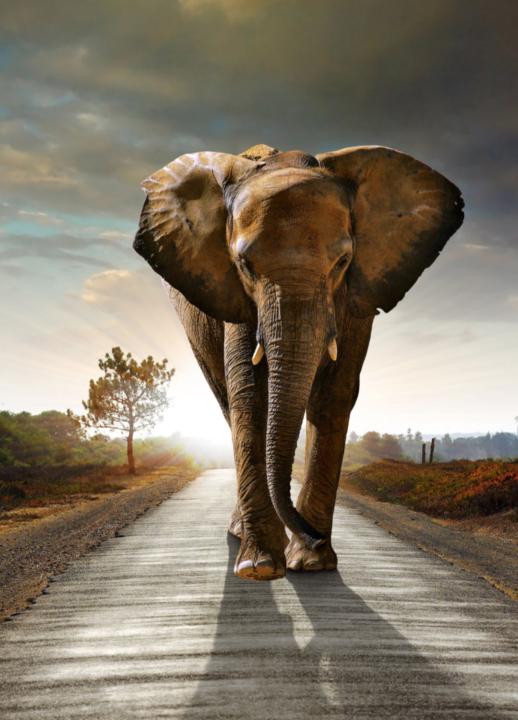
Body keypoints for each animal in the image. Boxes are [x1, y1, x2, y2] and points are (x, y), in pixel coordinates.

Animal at [134, 143, 463, 581]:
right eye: (245, 265)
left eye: (342, 262)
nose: (314, 535)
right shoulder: (236, 298)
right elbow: (250, 395)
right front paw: (260, 567)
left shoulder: (357, 295)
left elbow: (334, 395)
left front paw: (312, 563)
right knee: (227, 402)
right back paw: (242, 536)